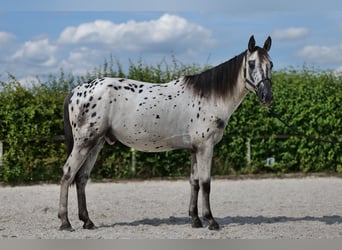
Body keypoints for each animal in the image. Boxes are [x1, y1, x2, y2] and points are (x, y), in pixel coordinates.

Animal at [58, 35, 272, 230]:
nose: (267, 96)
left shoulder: (195, 149)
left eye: (270, 64)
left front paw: (195, 220)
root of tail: (76, 90)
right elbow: (206, 183)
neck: (209, 97)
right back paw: (65, 222)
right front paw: (211, 221)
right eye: (251, 64)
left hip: (96, 144)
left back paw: (87, 221)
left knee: (82, 178)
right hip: (84, 143)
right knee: (68, 173)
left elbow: (194, 182)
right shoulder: (205, 147)